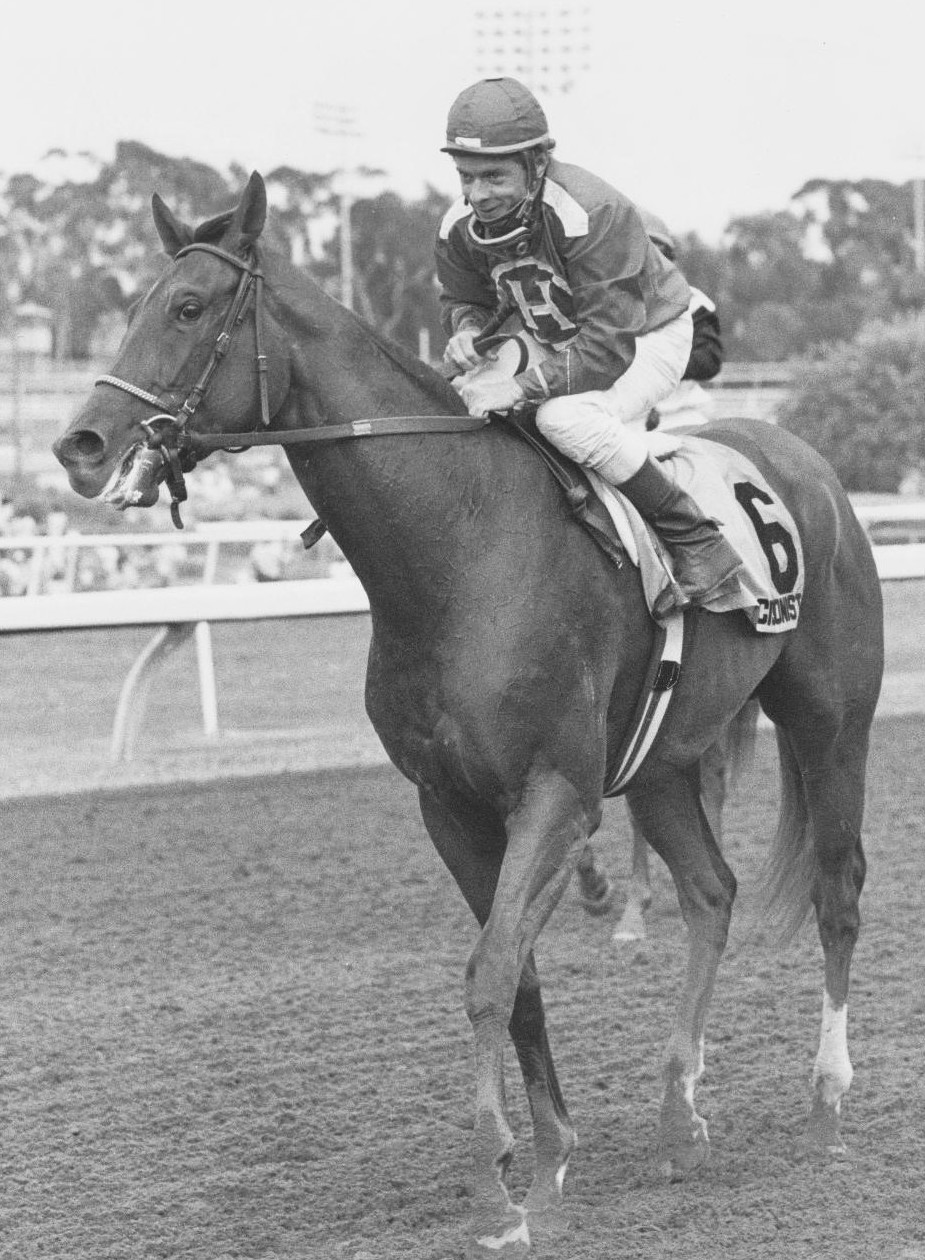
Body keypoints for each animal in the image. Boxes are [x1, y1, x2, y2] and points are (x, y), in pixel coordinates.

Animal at [54, 172, 887, 1254]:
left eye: (189, 308)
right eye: (132, 307)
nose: (81, 444)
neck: (456, 552)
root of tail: (804, 456)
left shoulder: (556, 792)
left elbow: (490, 969)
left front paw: (498, 1187)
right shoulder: (447, 803)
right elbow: (516, 976)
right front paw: (548, 1159)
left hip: (832, 720)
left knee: (836, 893)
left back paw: (826, 1102)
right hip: (663, 761)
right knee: (711, 891)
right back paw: (678, 1116)